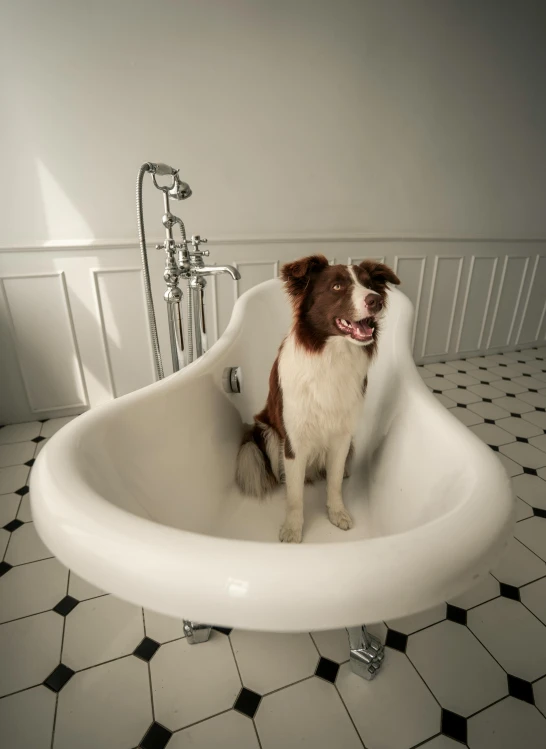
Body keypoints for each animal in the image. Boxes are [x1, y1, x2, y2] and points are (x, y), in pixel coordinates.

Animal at [235, 254, 400, 540]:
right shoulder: (293, 439)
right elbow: (295, 495)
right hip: (268, 434)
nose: (375, 300)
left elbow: (333, 483)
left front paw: (337, 513)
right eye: (337, 286)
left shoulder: (342, 436)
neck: (331, 356)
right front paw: (292, 528)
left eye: (370, 285)